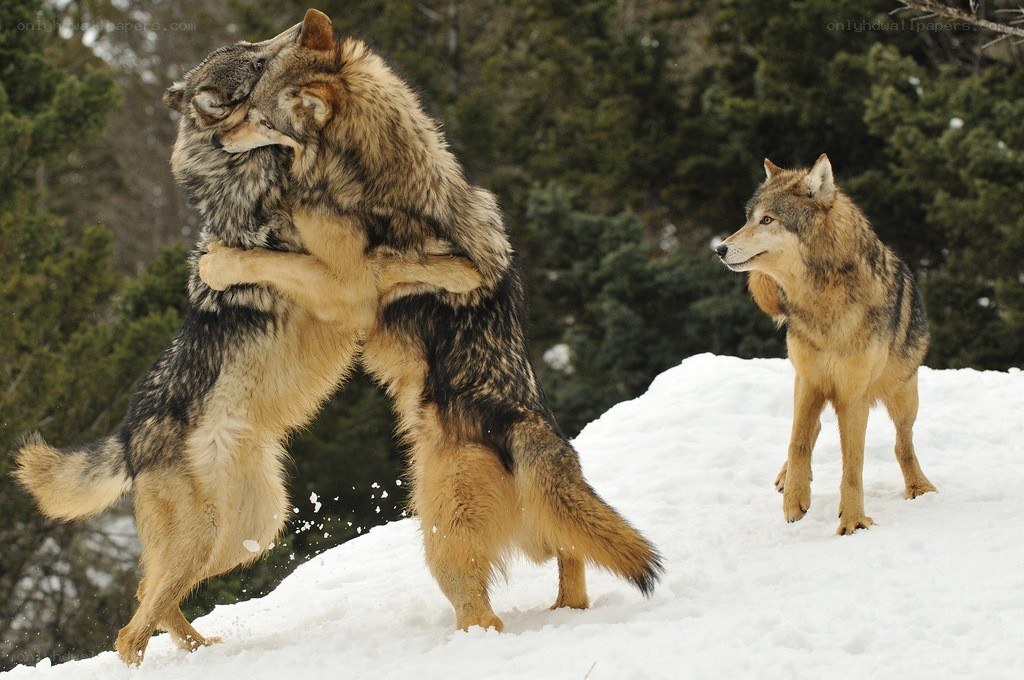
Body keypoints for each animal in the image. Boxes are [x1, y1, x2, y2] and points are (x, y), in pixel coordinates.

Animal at [14, 26, 482, 665]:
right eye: (257, 62)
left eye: (257, 46)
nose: (299, 28)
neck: (251, 165)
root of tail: (130, 432)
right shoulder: (345, 282)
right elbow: (401, 263)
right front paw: (463, 269)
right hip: (209, 537)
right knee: (131, 627)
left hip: (250, 531)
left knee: (150, 596)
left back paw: (199, 648)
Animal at [202, 8, 663, 631]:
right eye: (245, 97)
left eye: (254, 113)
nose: (217, 137)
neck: (363, 170)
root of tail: (527, 425)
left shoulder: (346, 288)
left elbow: (268, 257)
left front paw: (217, 261)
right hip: (536, 531)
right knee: (571, 557)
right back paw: (565, 609)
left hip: (440, 535)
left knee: (483, 612)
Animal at [716, 154, 937, 535]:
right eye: (748, 218)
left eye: (767, 220)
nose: (720, 248)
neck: (822, 298)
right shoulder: (810, 380)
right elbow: (798, 442)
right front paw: (795, 500)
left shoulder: (853, 395)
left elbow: (853, 465)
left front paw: (853, 521)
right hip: (807, 384)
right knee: (809, 428)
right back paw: (786, 477)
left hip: (904, 394)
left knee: (903, 443)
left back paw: (918, 486)